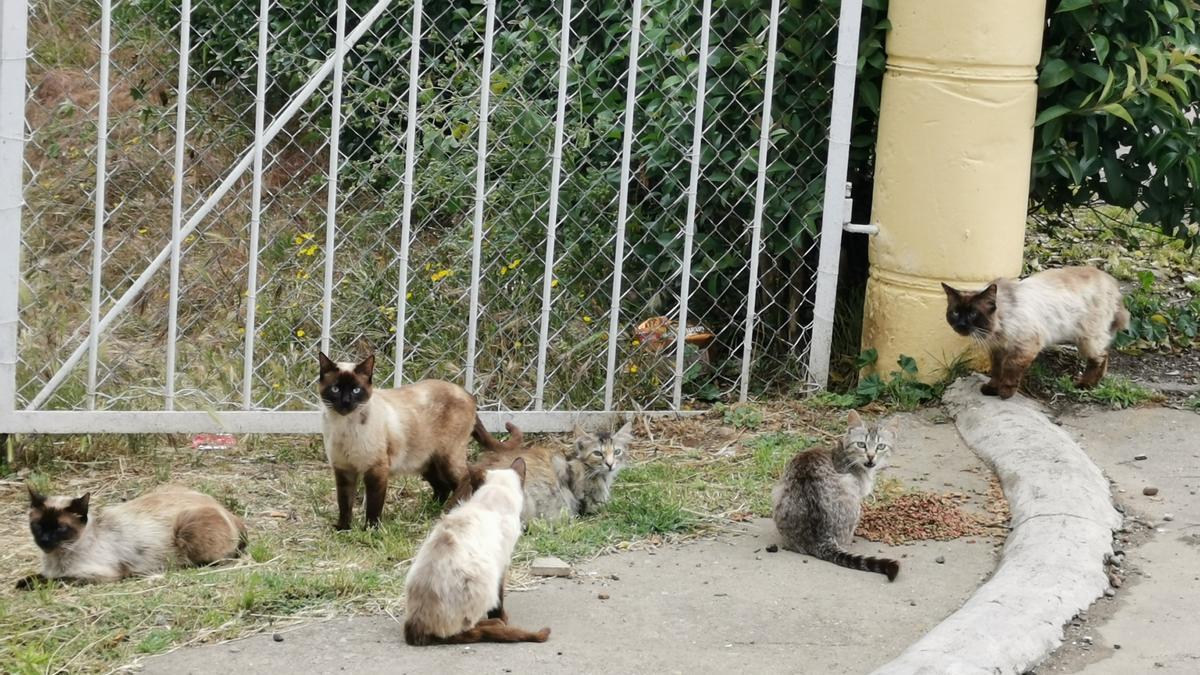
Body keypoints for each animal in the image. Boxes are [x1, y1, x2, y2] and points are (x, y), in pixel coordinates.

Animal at [18, 480, 244, 586]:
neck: (55, 558)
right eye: (38, 526)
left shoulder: (100, 575)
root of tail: (227, 510)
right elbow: (38, 576)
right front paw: (23, 581)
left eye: (59, 529)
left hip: (187, 527)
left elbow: (55, 579)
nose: (44, 540)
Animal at [316, 348, 513, 528]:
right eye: (335, 389)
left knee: (464, 480)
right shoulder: (344, 470)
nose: (346, 402)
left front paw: (370, 530)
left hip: (446, 458)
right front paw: (343, 529)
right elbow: (344, 504)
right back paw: (427, 510)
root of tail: (468, 394)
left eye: (356, 390)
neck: (344, 426)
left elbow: (373, 507)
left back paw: (451, 510)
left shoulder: (376, 470)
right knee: (443, 487)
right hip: (426, 462)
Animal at [403, 454, 552, 643]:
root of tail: (415, 627)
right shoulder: (502, 564)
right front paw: (502, 617)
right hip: (485, 579)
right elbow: (499, 599)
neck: (490, 500)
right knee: (466, 630)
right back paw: (496, 623)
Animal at [940, 264, 1128, 398]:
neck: (998, 328)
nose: (961, 325)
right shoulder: (997, 350)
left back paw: (1085, 385)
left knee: (1100, 357)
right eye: (955, 313)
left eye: (973, 314)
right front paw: (992, 389)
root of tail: (1111, 280)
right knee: (1105, 354)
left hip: (1087, 339)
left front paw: (1005, 393)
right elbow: (996, 371)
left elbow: (1009, 370)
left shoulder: (1024, 347)